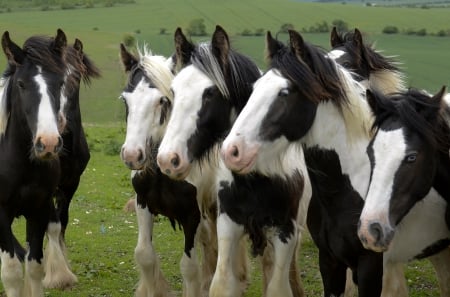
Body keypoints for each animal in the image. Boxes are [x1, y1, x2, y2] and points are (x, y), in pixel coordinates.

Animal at [0, 29, 67, 296]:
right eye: (21, 84)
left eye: (61, 83)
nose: (47, 143)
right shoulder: (1, 212)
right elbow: (11, 272)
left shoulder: (38, 209)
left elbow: (35, 266)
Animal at [156, 24, 310, 296]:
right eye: (173, 91)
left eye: (210, 93)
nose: (168, 159)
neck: (260, 176)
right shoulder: (228, 224)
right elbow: (221, 282)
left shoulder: (286, 233)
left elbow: (277, 286)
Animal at [221, 29, 450, 296]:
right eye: (255, 87)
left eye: (284, 93)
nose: (231, 151)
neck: (344, 191)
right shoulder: (330, 262)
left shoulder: (371, 268)